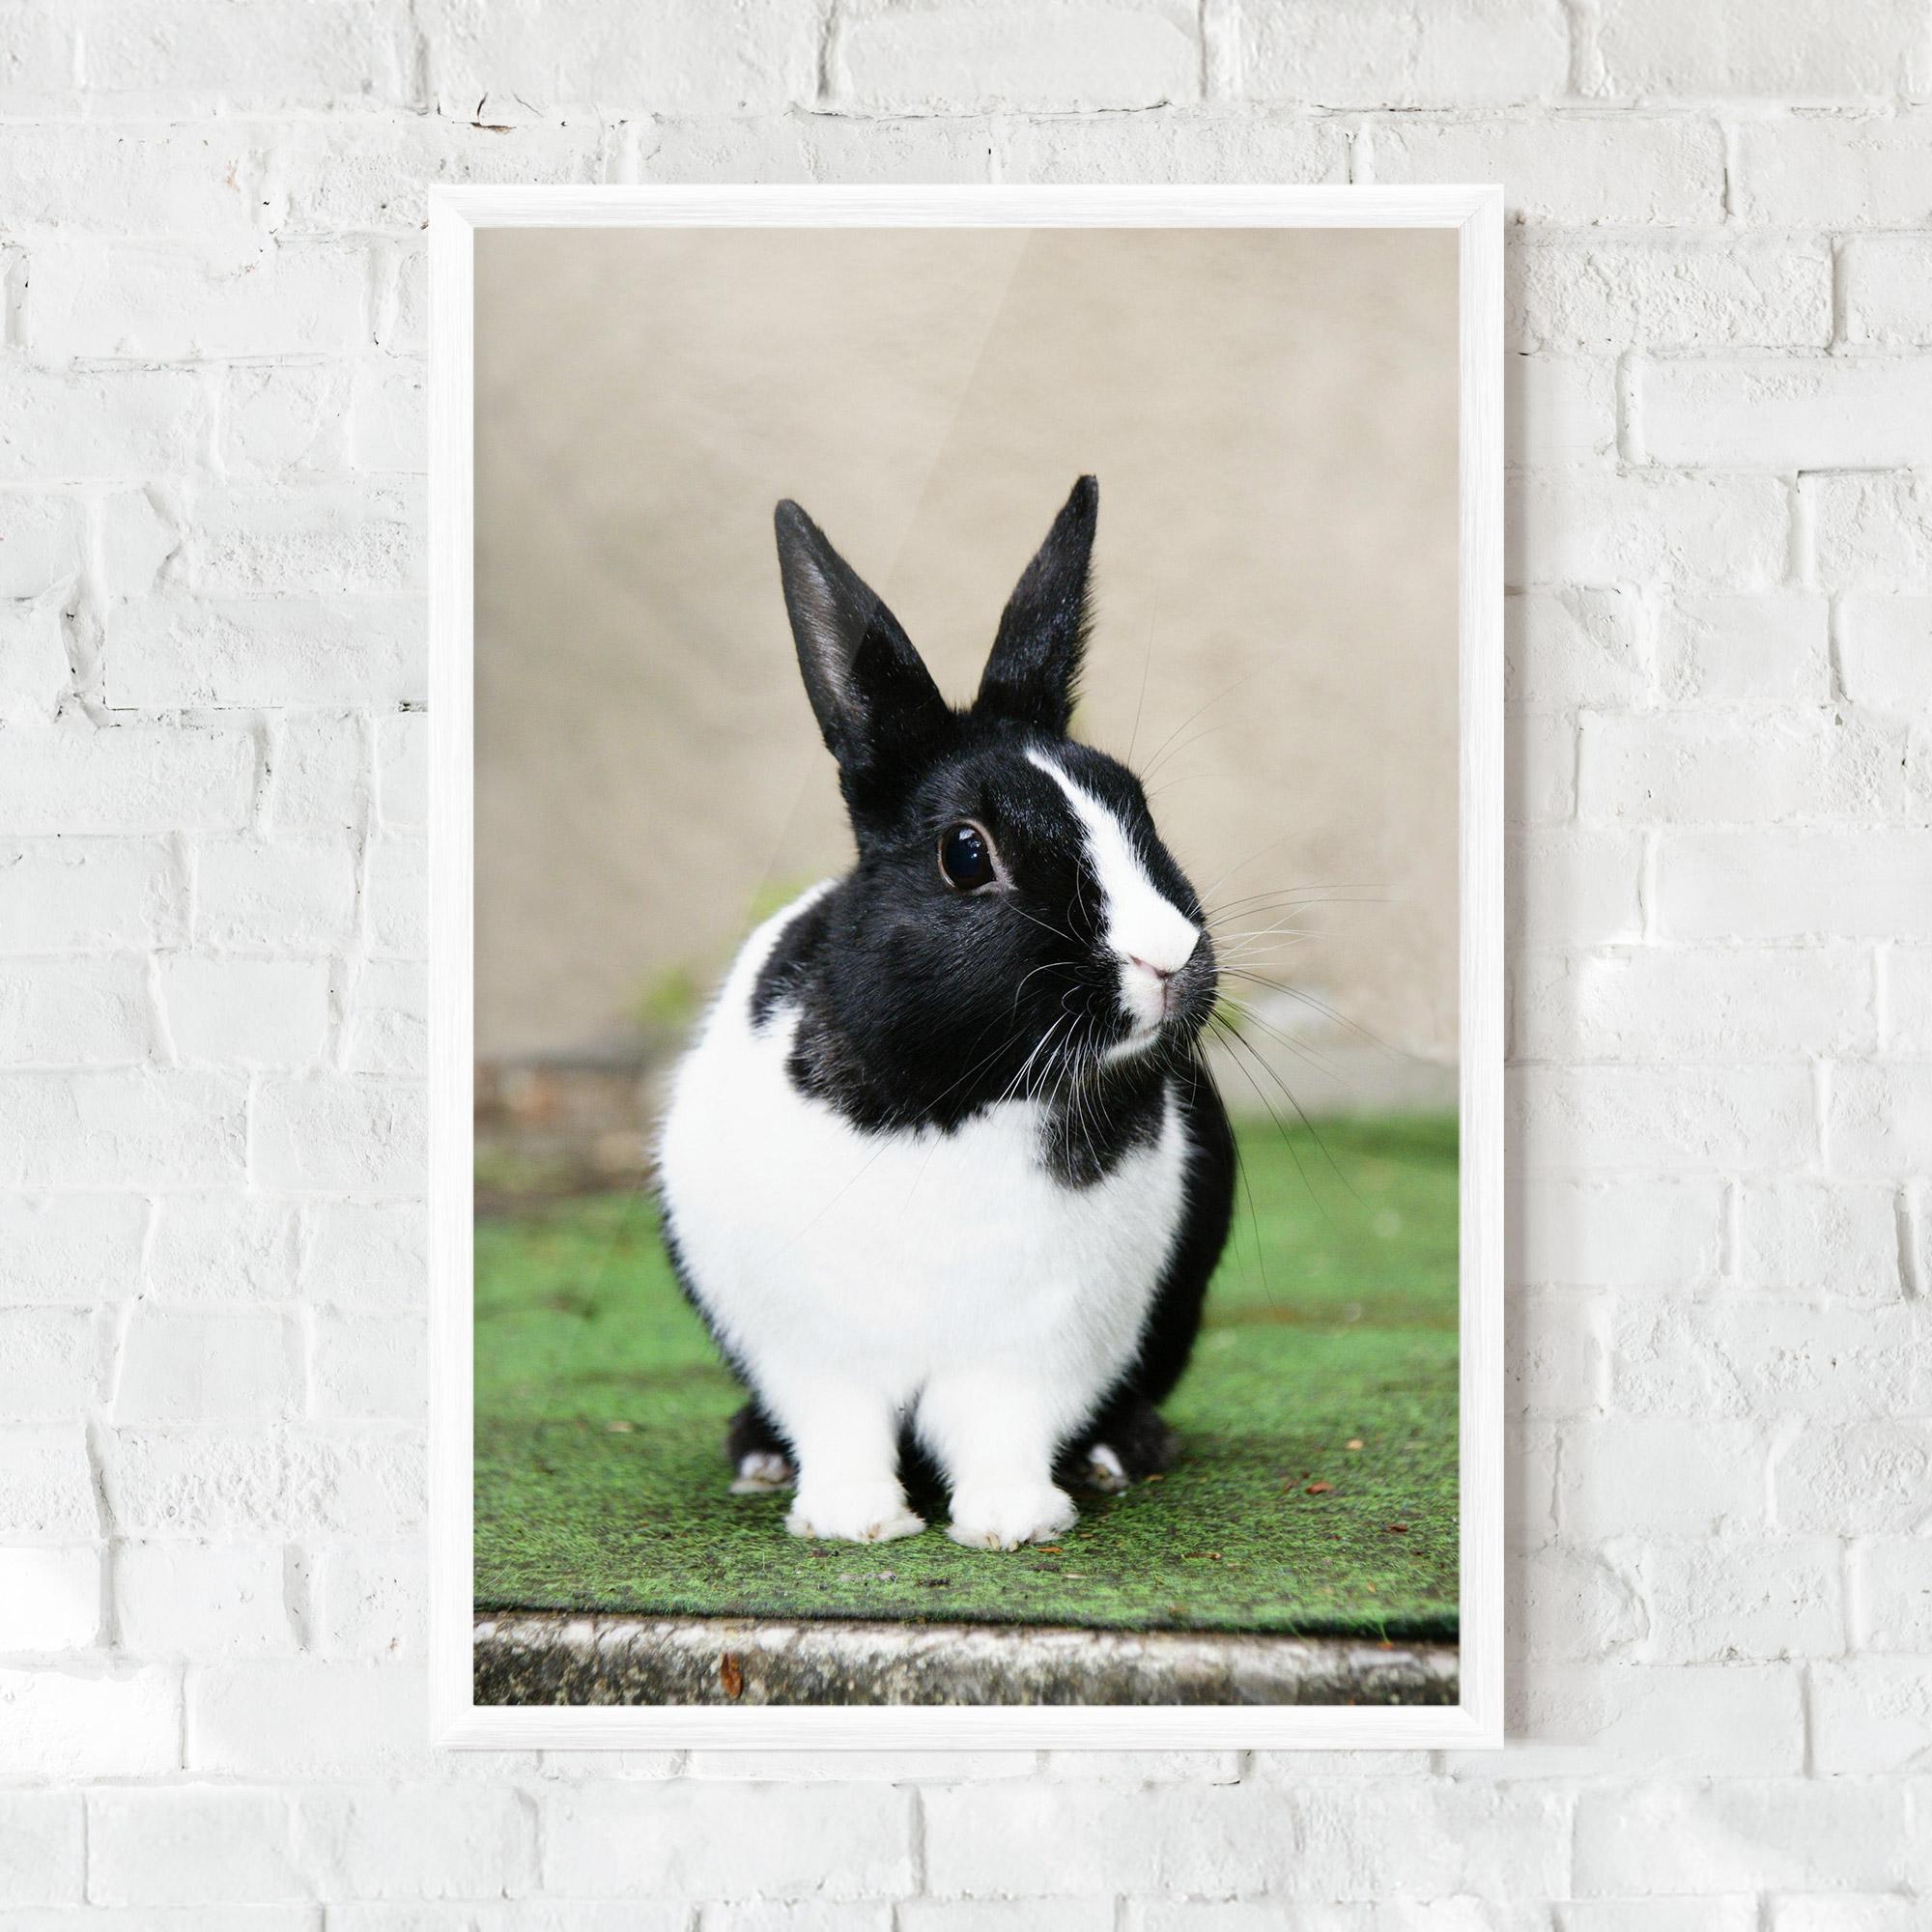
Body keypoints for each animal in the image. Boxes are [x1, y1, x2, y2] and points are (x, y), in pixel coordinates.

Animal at [656, 476, 1235, 1550]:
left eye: (1136, 804)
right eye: (967, 854)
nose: (1169, 957)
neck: (955, 1098)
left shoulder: (1034, 1347)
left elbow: (1001, 1428)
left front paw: (1012, 1522)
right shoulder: (814, 1348)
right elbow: (840, 1427)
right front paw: (852, 1522)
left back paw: (1119, 1451)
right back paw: (757, 1456)